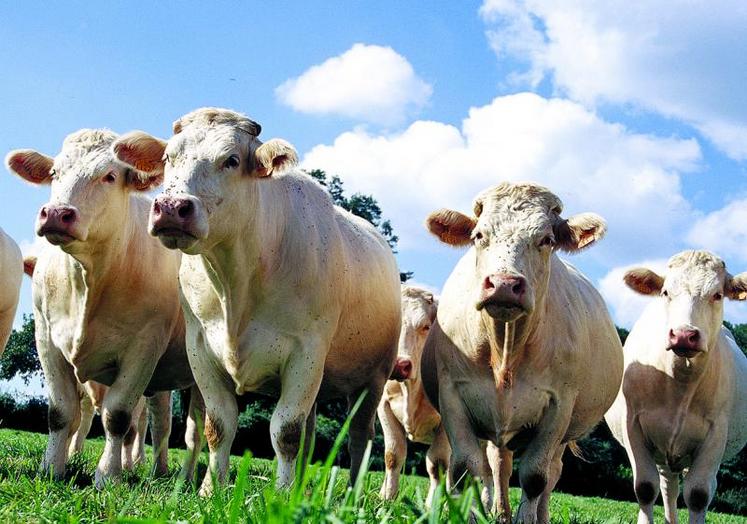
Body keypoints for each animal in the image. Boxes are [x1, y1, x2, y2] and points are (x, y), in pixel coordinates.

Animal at [5, 130, 205, 488]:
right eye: (54, 173)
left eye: (110, 176)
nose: (56, 214)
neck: (88, 279)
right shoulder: (46, 338)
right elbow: (61, 413)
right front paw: (52, 468)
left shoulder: (144, 347)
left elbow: (118, 417)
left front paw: (108, 476)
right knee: (160, 422)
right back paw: (157, 471)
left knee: (189, 431)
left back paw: (181, 479)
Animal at [112, 107, 401, 496]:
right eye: (168, 157)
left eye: (232, 160)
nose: (172, 208)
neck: (237, 284)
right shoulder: (200, 348)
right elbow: (219, 426)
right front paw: (210, 489)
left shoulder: (307, 352)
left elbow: (286, 432)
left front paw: (282, 495)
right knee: (312, 434)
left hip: (374, 379)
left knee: (359, 437)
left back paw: (351, 493)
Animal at [421, 182, 623, 523]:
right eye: (479, 235)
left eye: (547, 240)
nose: (504, 284)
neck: (505, 351)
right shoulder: (453, 396)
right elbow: (466, 468)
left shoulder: (559, 404)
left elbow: (535, 477)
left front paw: (527, 519)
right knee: (498, 463)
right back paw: (499, 511)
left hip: (562, 434)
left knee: (552, 472)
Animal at [605, 250, 747, 524]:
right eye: (666, 292)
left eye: (717, 294)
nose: (683, 335)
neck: (679, 382)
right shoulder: (632, 424)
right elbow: (645, 488)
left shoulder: (716, 434)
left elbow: (698, 494)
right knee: (667, 487)